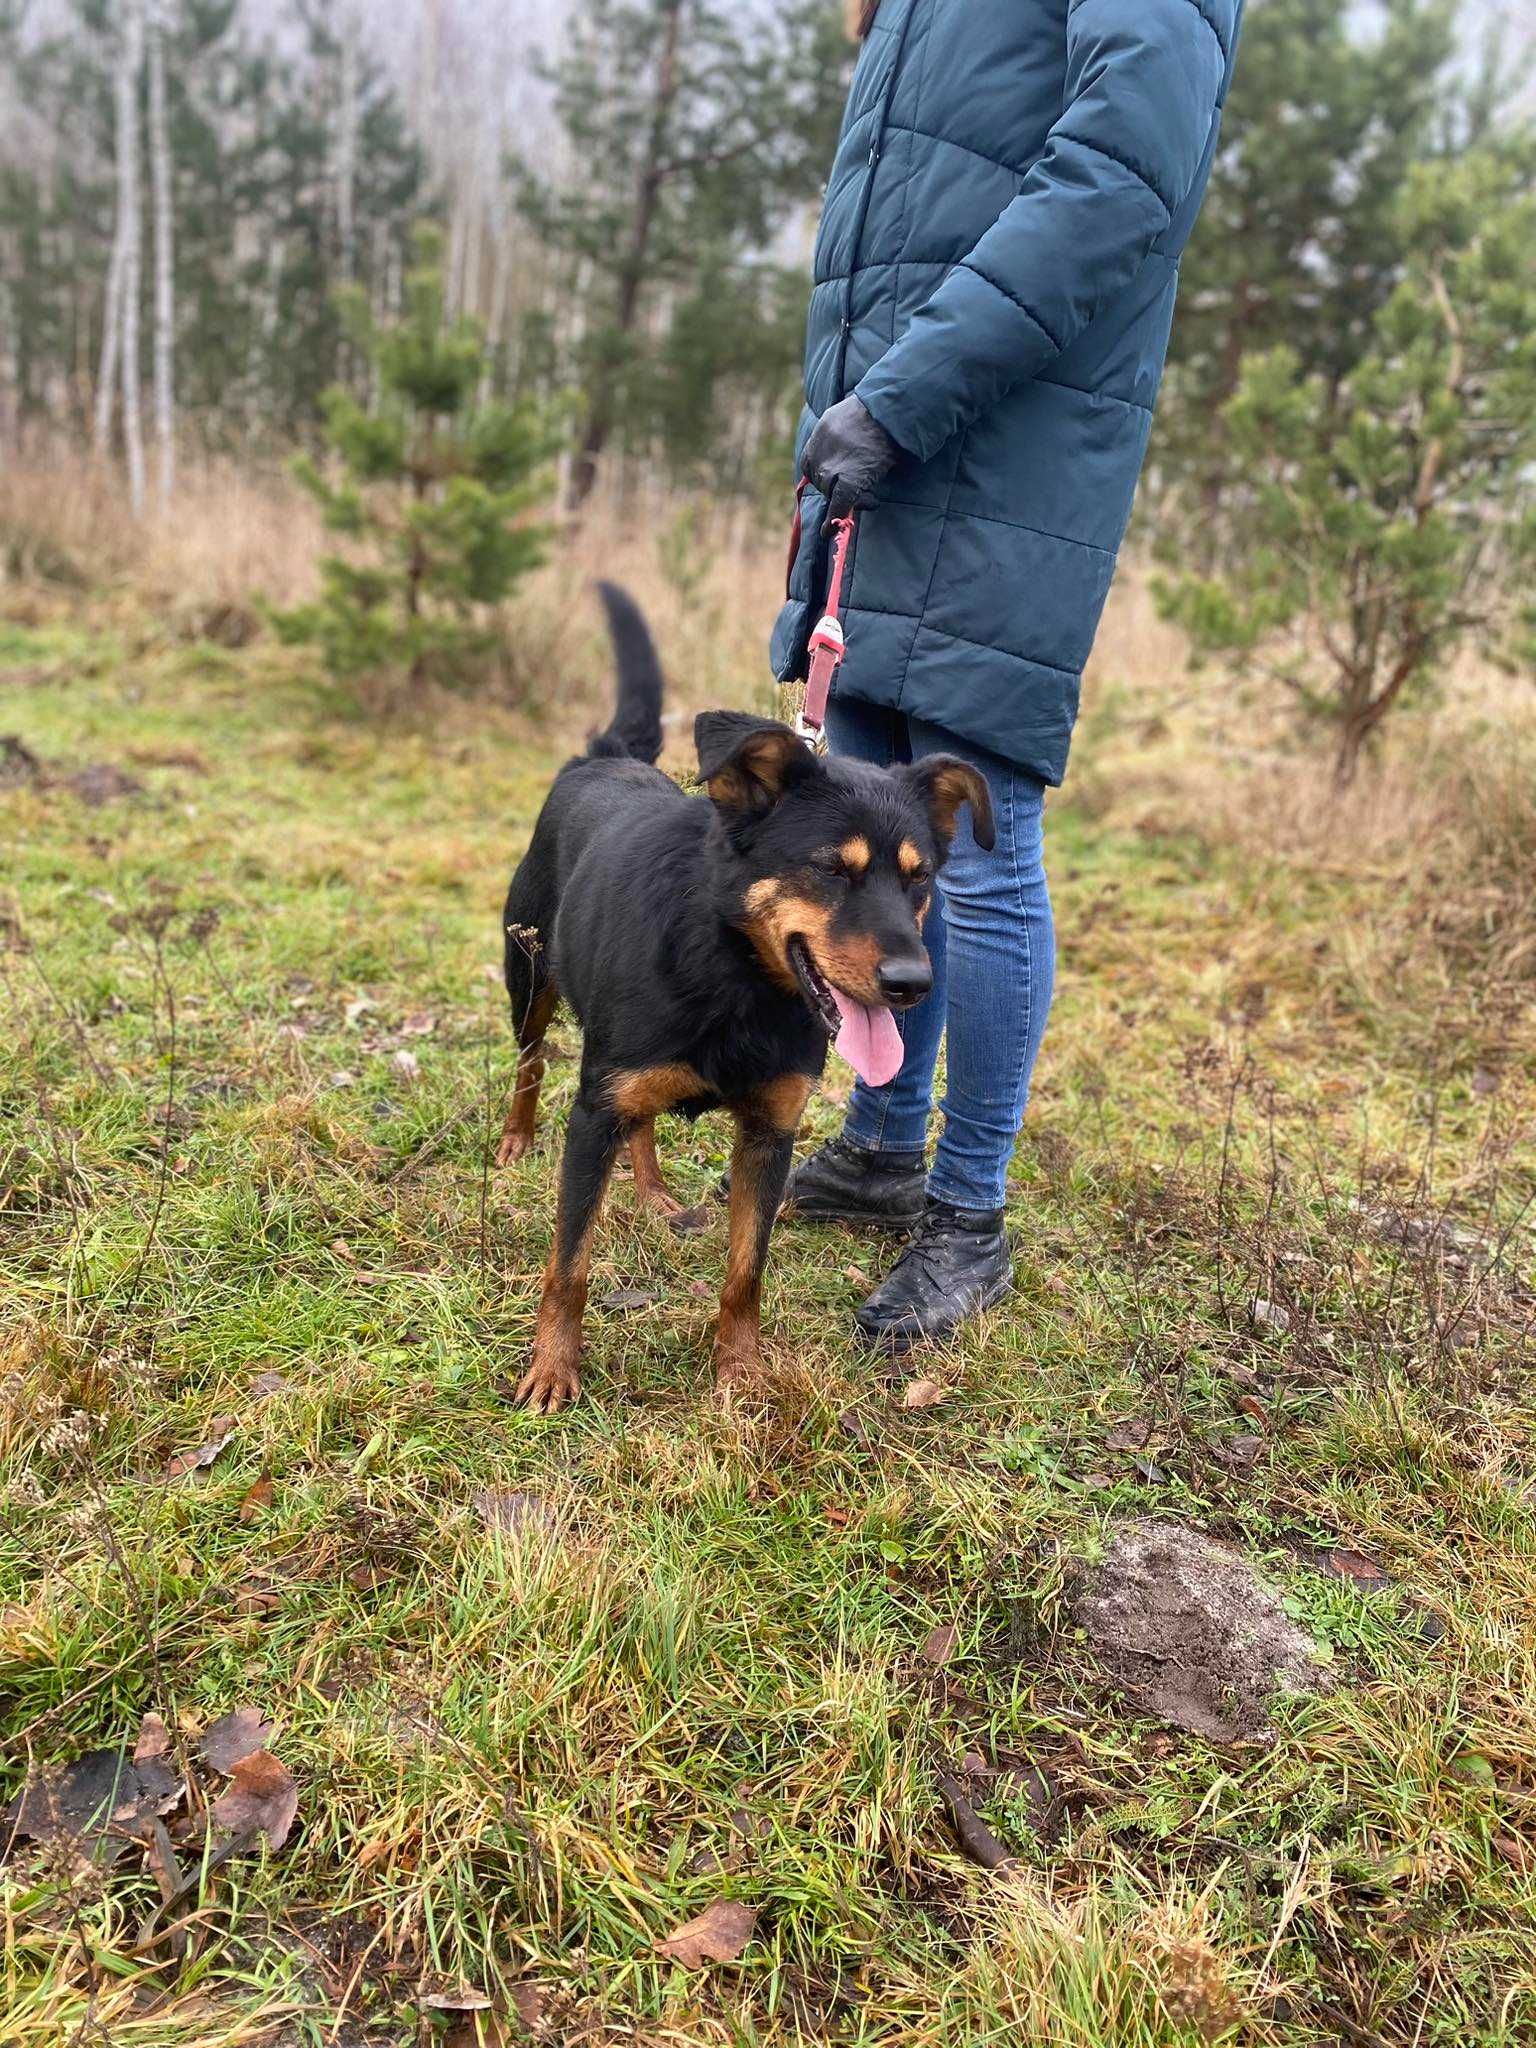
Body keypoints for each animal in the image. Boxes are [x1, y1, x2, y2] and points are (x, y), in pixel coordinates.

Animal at [499, 581, 991, 1409]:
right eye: (831, 869)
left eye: (920, 877)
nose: (913, 985)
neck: (735, 974)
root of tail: (606, 758)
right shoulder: (592, 1115)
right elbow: (570, 1266)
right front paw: (554, 1366)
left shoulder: (770, 1134)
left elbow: (745, 1272)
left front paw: (741, 1371)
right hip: (529, 973)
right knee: (531, 1061)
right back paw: (515, 1137)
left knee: (642, 1120)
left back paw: (653, 1191)